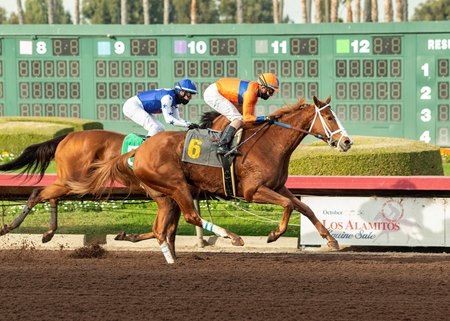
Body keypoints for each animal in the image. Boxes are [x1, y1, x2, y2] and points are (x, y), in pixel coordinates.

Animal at [69, 97, 352, 262]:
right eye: (329, 117)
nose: (347, 142)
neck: (269, 144)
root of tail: (138, 150)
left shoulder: (278, 186)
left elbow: (305, 207)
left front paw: (331, 239)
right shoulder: (252, 191)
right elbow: (289, 205)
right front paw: (273, 235)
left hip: (164, 195)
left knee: (162, 228)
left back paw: (164, 254)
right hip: (177, 186)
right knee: (190, 216)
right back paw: (232, 237)